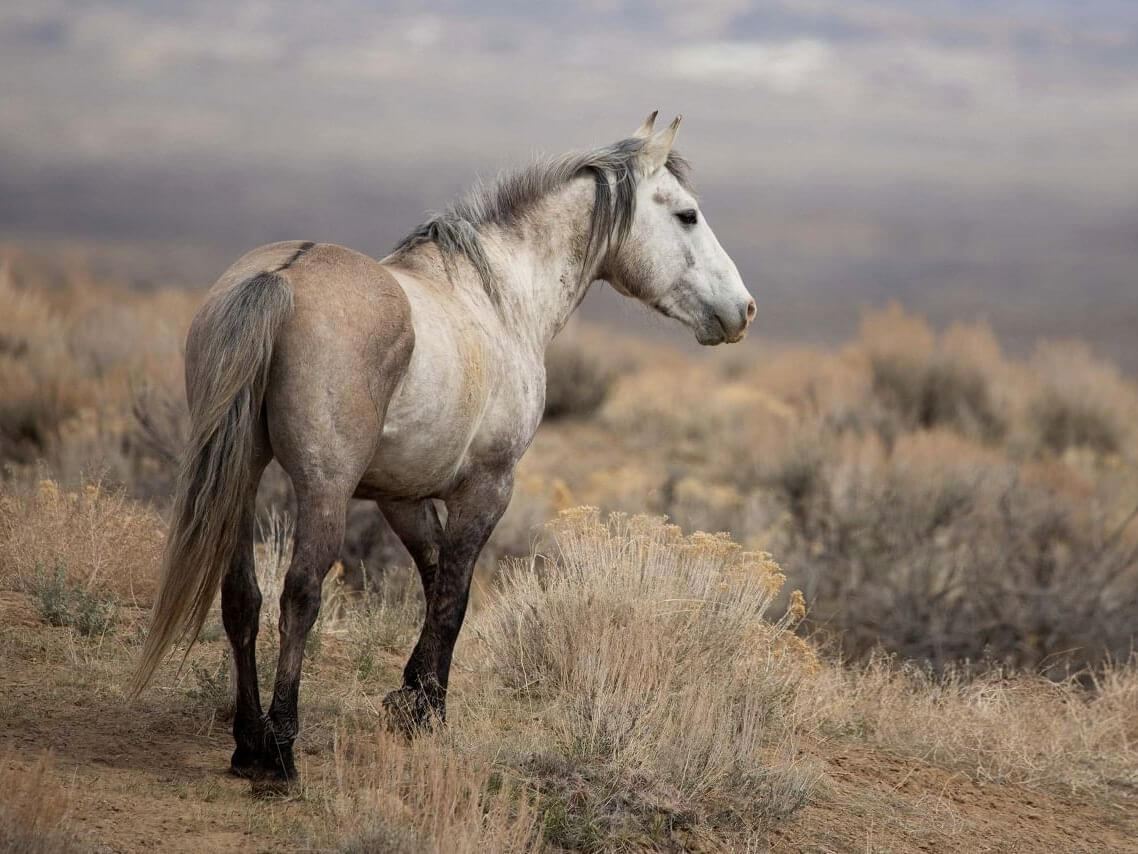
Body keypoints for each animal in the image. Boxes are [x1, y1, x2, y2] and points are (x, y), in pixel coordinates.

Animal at [130, 112, 756, 781]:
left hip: (241, 483)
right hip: (324, 489)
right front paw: (427, 710)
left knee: (241, 597)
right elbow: (455, 596)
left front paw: (412, 696)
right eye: (687, 215)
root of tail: (282, 275)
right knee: (299, 594)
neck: (499, 299)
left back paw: (248, 744)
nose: (742, 310)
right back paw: (280, 753)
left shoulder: (401, 495)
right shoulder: (487, 487)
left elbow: (433, 581)